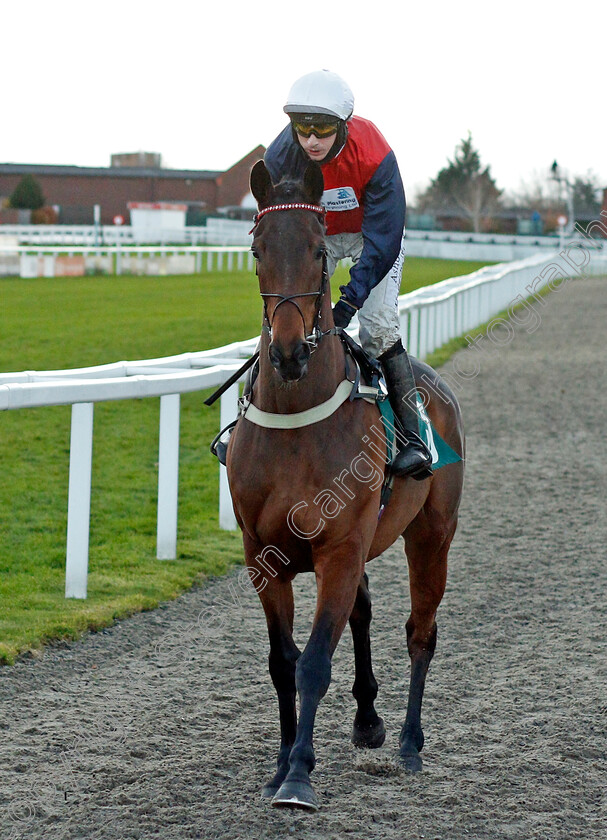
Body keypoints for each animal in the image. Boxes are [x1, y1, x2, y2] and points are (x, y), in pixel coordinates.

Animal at [224, 161, 466, 812]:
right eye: (256, 249)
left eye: (317, 251)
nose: (287, 352)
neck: (296, 421)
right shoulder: (264, 555)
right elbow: (283, 663)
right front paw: (280, 764)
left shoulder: (337, 548)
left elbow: (312, 662)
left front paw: (299, 776)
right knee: (363, 611)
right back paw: (369, 720)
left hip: (430, 536)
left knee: (421, 632)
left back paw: (409, 742)